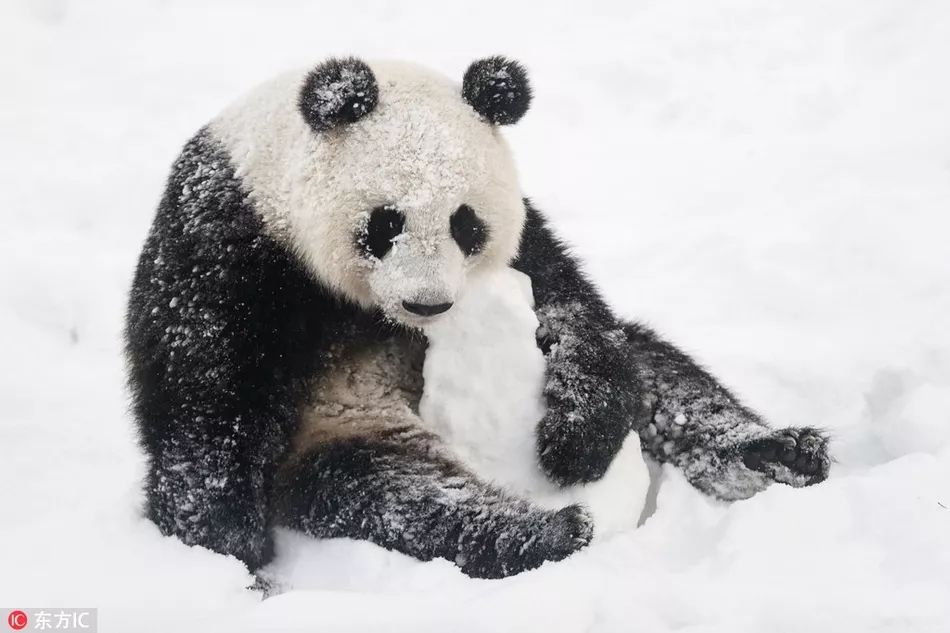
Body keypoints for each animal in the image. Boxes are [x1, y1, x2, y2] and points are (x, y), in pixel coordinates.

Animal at [128, 54, 832, 576]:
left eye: (466, 224)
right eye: (385, 224)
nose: (430, 302)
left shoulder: (526, 243)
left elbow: (575, 309)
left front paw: (573, 442)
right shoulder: (228, 242)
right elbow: (208, 404)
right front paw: (227, 558)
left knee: (659, 376)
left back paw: (777, 454)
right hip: (345, 429)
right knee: (401, 497)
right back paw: (545, 533)